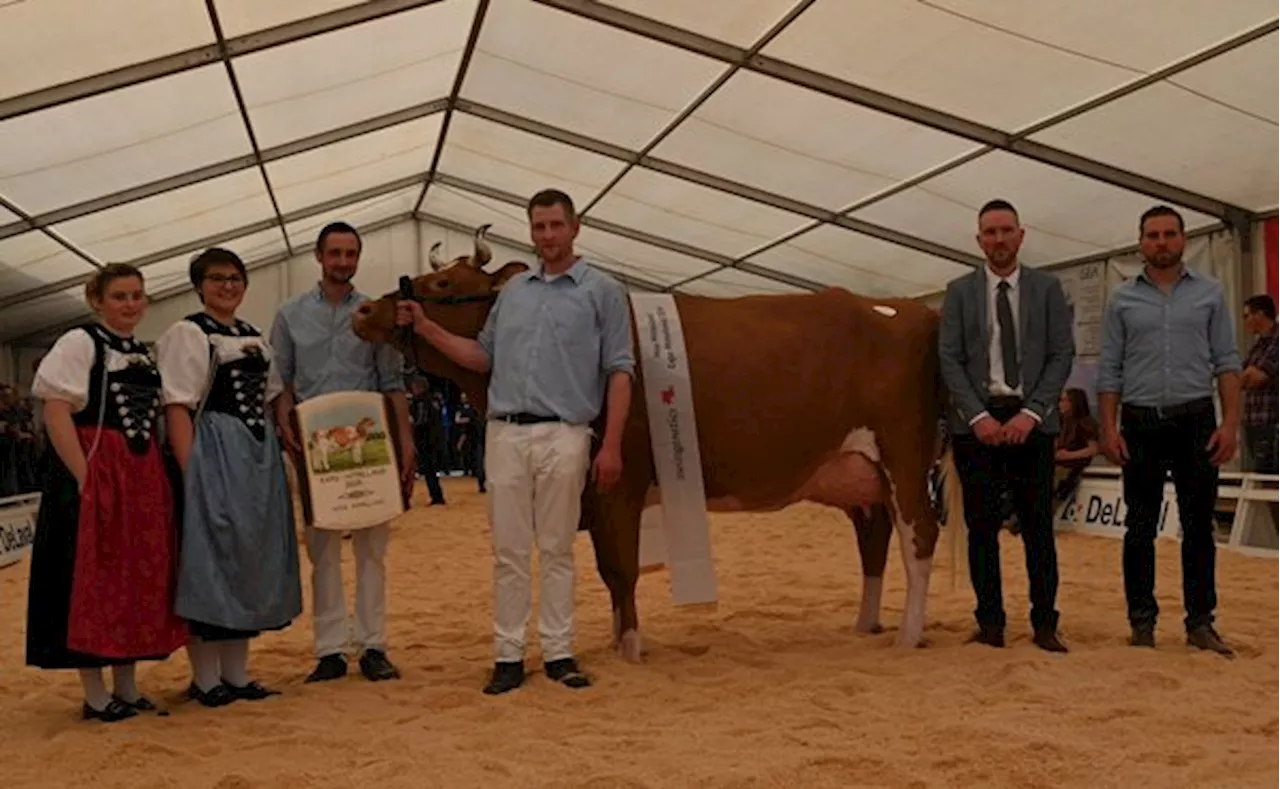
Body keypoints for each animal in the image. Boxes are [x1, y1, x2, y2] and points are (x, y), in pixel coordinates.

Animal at [348, 226, 962, 660]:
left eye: (443, 286)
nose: (365, 309)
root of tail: (910, 308)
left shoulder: (618, 481)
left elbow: (620, 569)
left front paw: (630, 648)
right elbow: (609, 570)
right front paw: (617, 638)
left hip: (905, 457)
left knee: (919, 539)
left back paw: (907, 636)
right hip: (859, 474)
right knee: (875, 541)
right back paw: (864, 625)